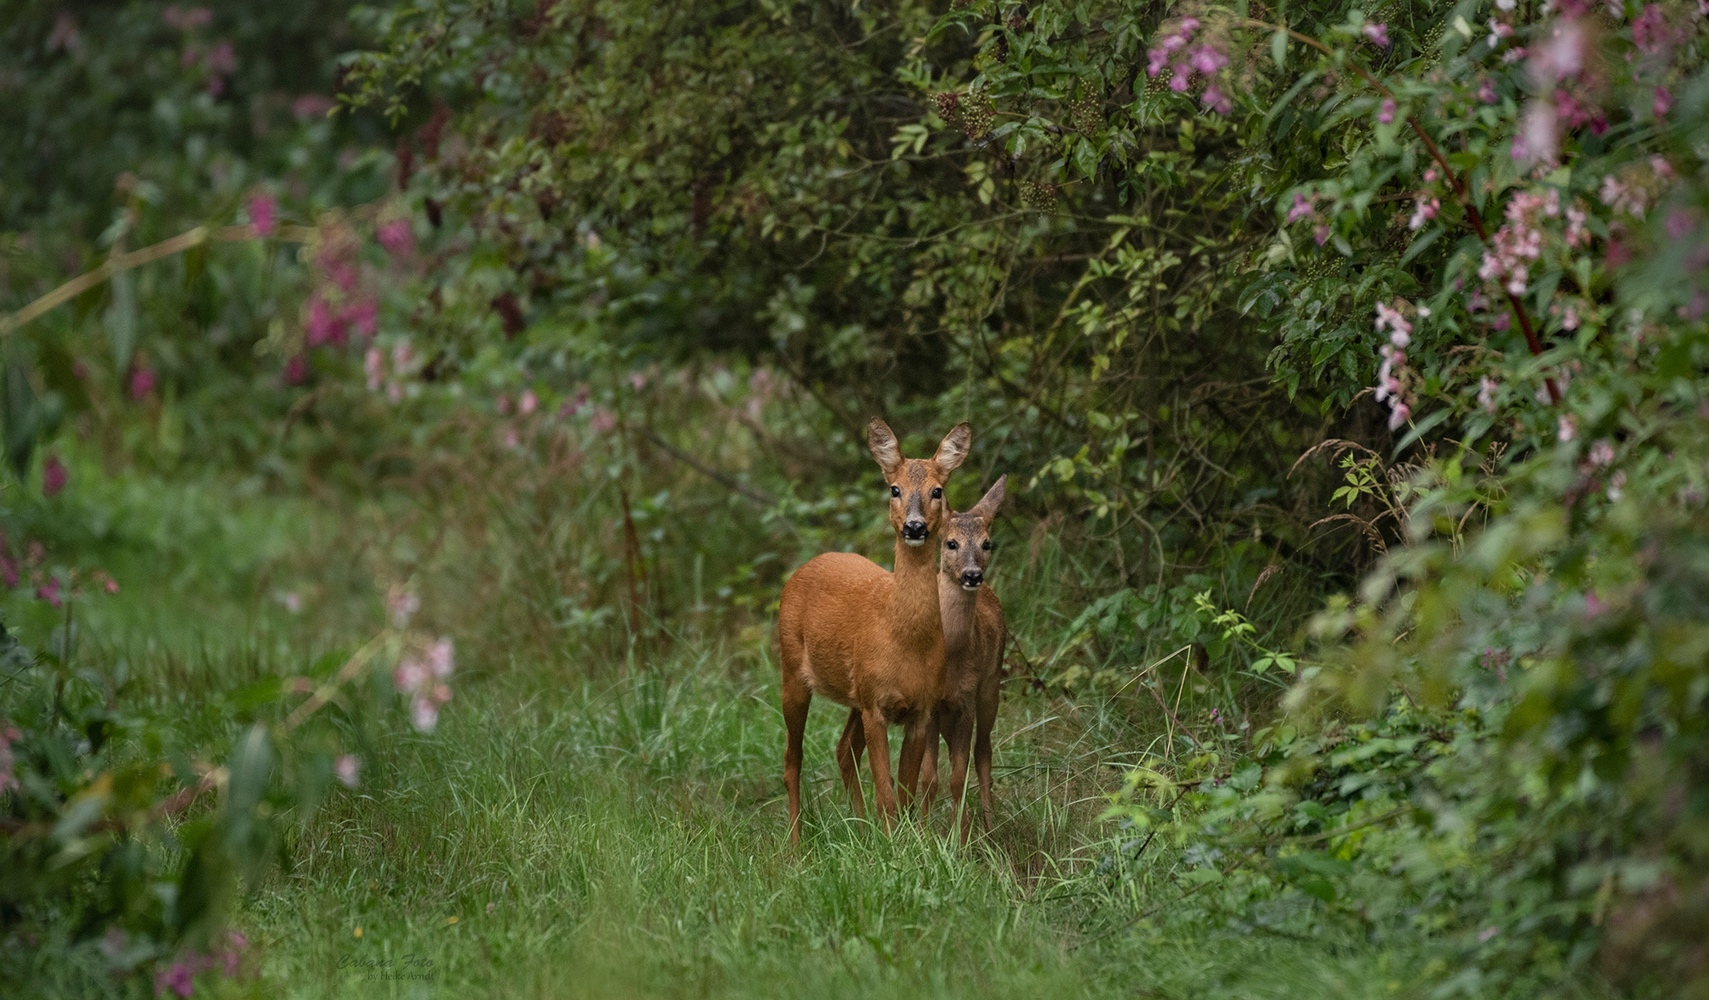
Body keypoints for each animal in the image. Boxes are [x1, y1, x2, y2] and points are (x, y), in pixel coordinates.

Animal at [779, 415, 970, 841]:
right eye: (895, 489)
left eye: (937, 490)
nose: (914, 526)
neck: (904, 639)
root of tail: (804, 567)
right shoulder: (876, 705)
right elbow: (886, 791)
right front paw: (889, 844)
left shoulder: (920, 708)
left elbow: (906, 791)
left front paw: (902, 842)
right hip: (792, 672)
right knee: (791, 758)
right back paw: (795, 844)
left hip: (854, 693)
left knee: (843, 749)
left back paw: (859, 828)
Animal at [837, 471, 1004, 837]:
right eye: (951, 543)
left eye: (987, 544)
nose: (973, 575)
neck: (953, 655)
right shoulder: (933, 706)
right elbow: (929, 779)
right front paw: (927, 833)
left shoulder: (964, 700)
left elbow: (957, 777)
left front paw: (959, 840)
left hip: (991, 687)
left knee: (984, 752)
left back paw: (989, 826)